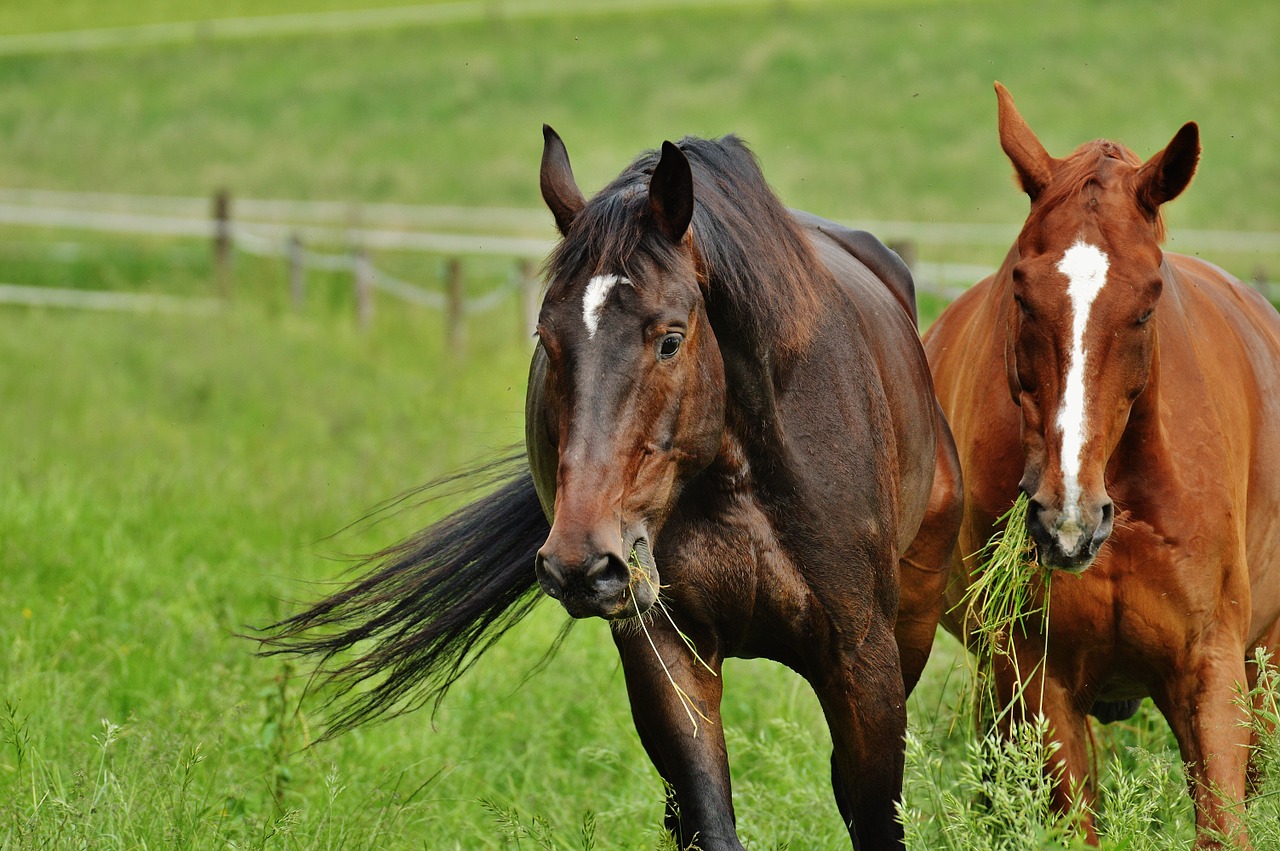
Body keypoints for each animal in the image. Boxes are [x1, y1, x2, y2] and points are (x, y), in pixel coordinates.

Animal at [262, 127, 962, 849]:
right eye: (546, 339)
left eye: (671, 339)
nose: (580, 562)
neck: (739, 481)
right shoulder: (666, 652)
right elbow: (708, 820)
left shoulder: (862, 660)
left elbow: (874, 815)